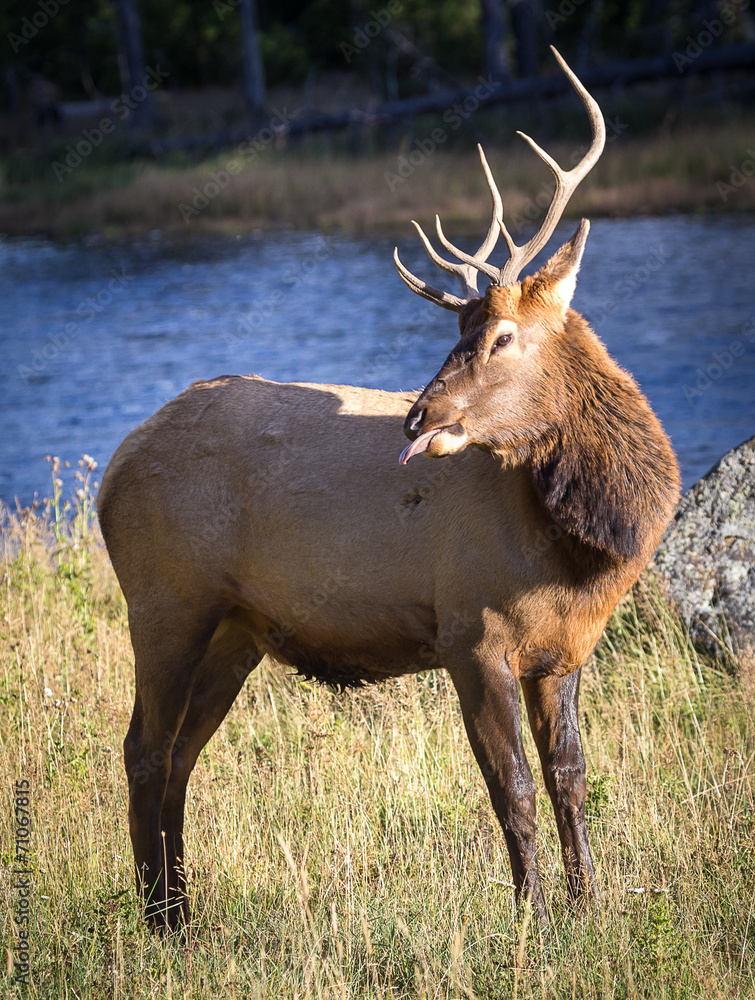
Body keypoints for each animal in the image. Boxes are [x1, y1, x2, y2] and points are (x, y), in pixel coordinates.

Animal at [97, 50, 684, 928]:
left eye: (500, 335)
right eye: (456, 334)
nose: (417, 415)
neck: (584, 553)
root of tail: (111, 469)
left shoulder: (563, 651)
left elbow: (570, 780)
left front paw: (588, 906)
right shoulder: (470, 635)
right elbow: (510, 789)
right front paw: (533, 919)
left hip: (235, 628)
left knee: (178, 754)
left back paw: (180, 909)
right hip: (166, 601)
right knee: (142, 747)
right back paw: (160, 918)